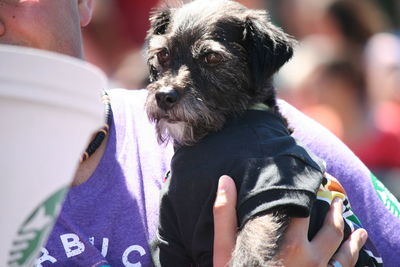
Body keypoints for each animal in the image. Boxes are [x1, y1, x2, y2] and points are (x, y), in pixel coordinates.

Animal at [145, 0, 382, 267]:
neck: (217, 132)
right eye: (163, 54)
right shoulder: (170, 240)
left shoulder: (273, 188)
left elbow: (249, 248)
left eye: (211, 58)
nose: (164, 96)